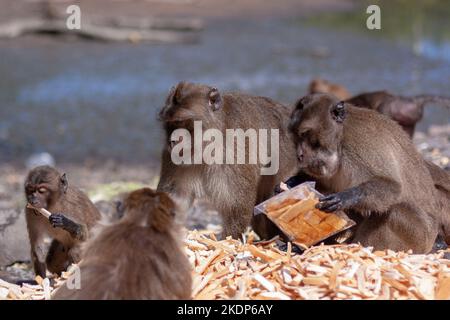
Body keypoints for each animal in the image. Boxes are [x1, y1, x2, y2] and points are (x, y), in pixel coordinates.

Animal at [158, 81, 298, 239]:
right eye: (170, 124)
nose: (172, 141)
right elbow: (175, 194)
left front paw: (226, 238)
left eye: (180, 122)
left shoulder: (233, 148)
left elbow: (236, 203)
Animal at [288, 94, 450, 254]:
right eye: (296, 138)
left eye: (305, 134)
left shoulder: (359, 144)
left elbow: (392, 186)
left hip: (419, 238)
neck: (340, 139)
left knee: (392, 210)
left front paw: (346, 197)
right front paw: (293, 182)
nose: (299, 155)